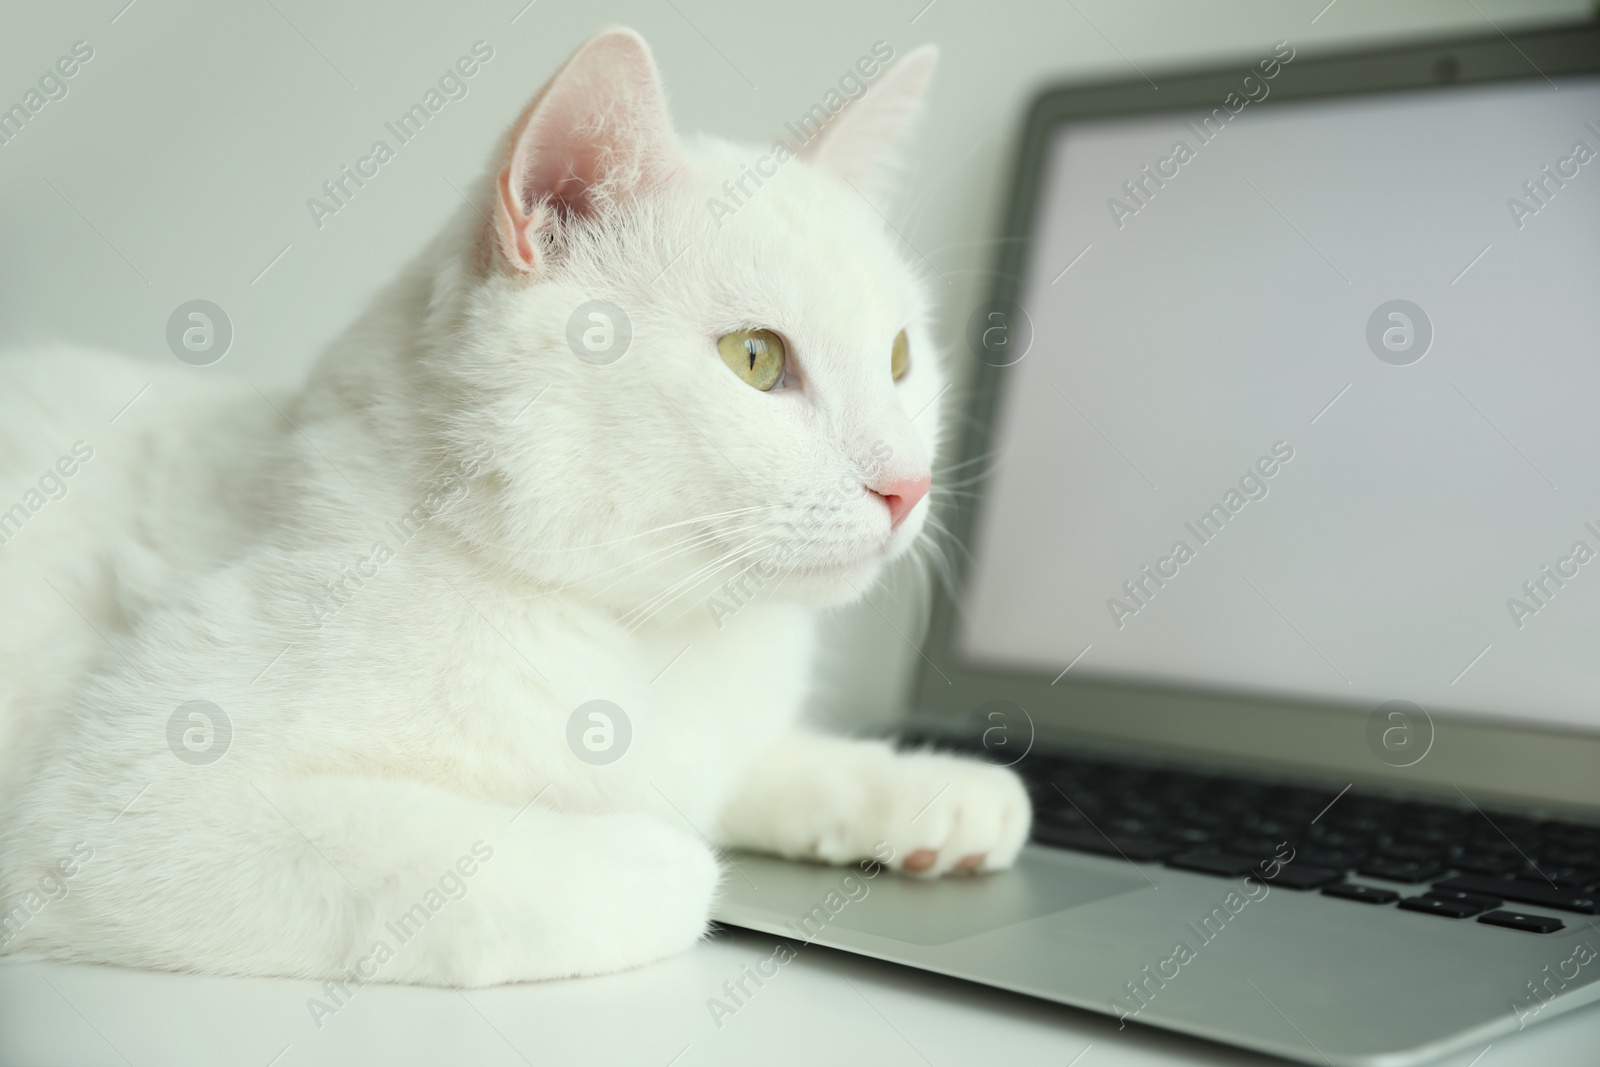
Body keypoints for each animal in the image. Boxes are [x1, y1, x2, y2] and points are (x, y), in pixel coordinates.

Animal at [0, 29, 1024, 991]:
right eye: (756, 358)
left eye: (901, 359)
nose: (909, 484)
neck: (660, 633)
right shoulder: (127, 809)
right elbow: (601, 868)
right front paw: (675, 857)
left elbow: (758, 763)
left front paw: (925, 786)